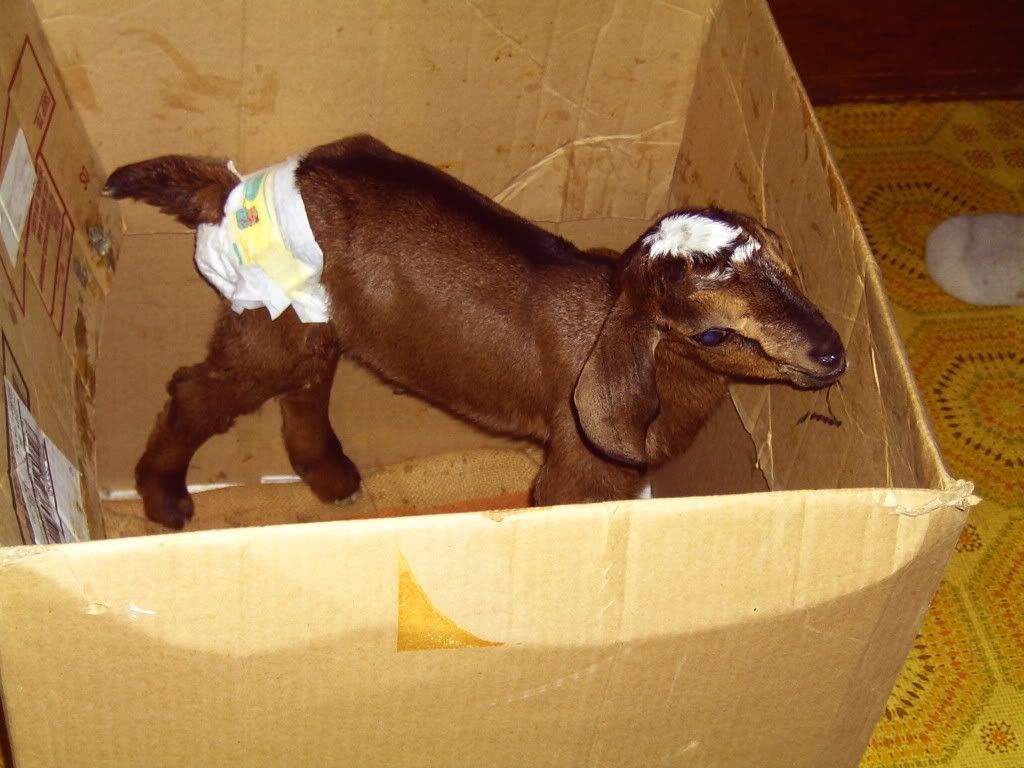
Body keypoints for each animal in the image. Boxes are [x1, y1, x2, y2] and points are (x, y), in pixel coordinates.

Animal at [103, 134, 846, 529]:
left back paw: (334, 478)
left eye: (788, 268)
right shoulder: (580, 468)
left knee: (305, 385)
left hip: (314, 320)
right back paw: (164, 498)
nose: (832, 354)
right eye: (712, 335)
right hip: (268, 313)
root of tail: (233, 189)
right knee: (199, 390)